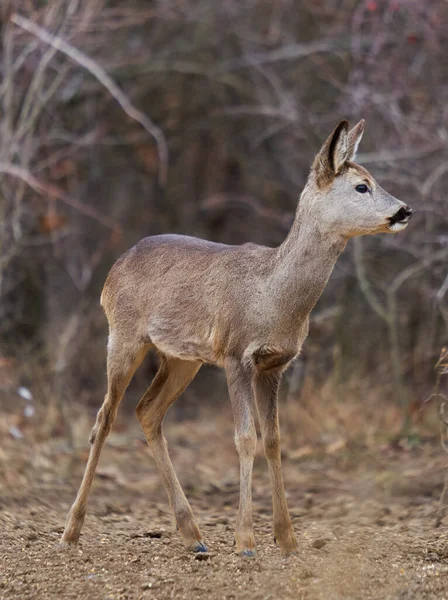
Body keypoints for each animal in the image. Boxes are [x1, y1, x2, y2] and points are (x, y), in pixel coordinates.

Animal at [60, 118, 412, 556]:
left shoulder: (276, 364)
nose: (404, 210)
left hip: (183, 359)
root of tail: (114, 270)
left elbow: (274, 439)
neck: (272, 295)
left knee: (147, 411)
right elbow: (245, 437)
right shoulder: (234, 354)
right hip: (124, 336)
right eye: (362, 186)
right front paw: (246, 540)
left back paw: (193, 535)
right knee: (105, 417)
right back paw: (71, 531)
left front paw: (287, 538)